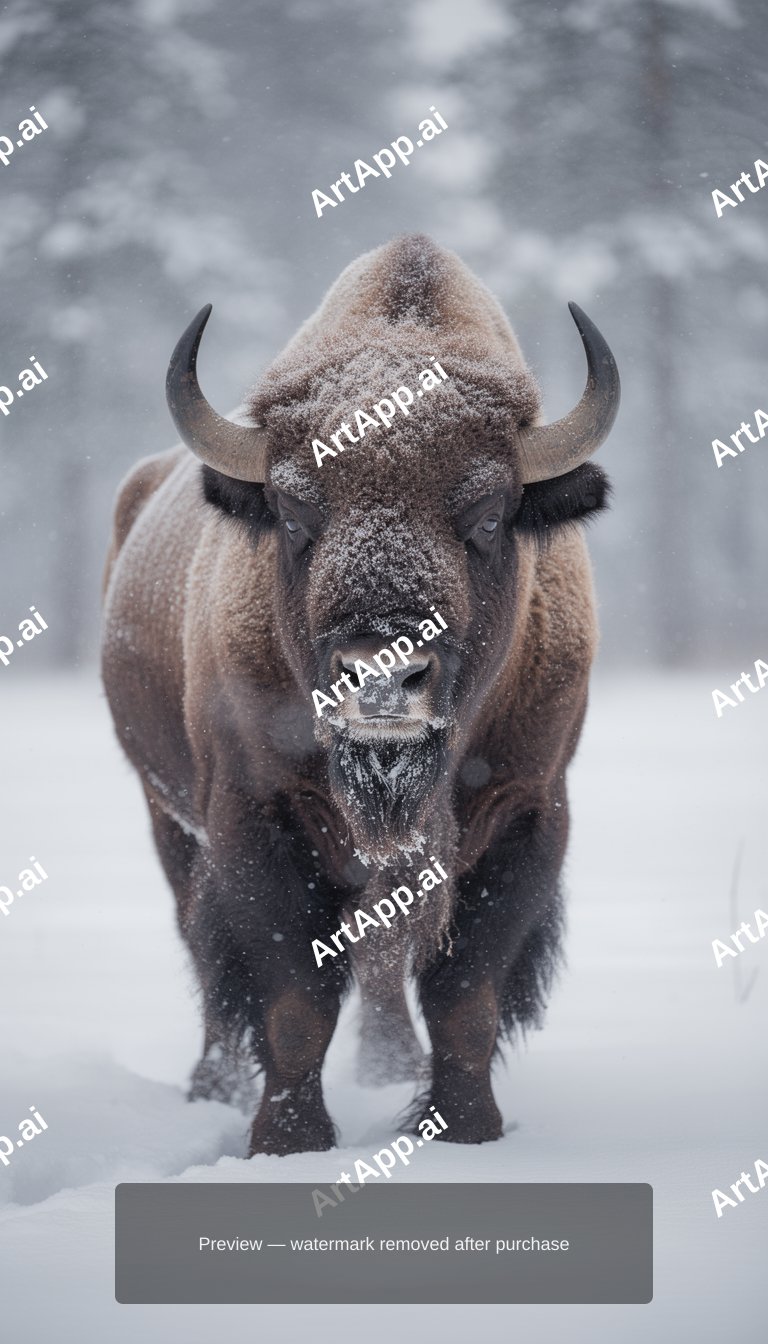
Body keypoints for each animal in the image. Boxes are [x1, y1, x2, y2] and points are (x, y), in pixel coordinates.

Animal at [101, 234, 619, 1154]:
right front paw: (287, 1140)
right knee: (203, 950)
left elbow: (466, 996)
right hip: (169, 816)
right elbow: (291, 1000)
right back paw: (211, 1089)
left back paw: (389, 1069)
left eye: (489, 514)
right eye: (294, 511)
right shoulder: (257, 817)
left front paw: (465, 1132)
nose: (382, 671)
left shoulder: (525, 815)